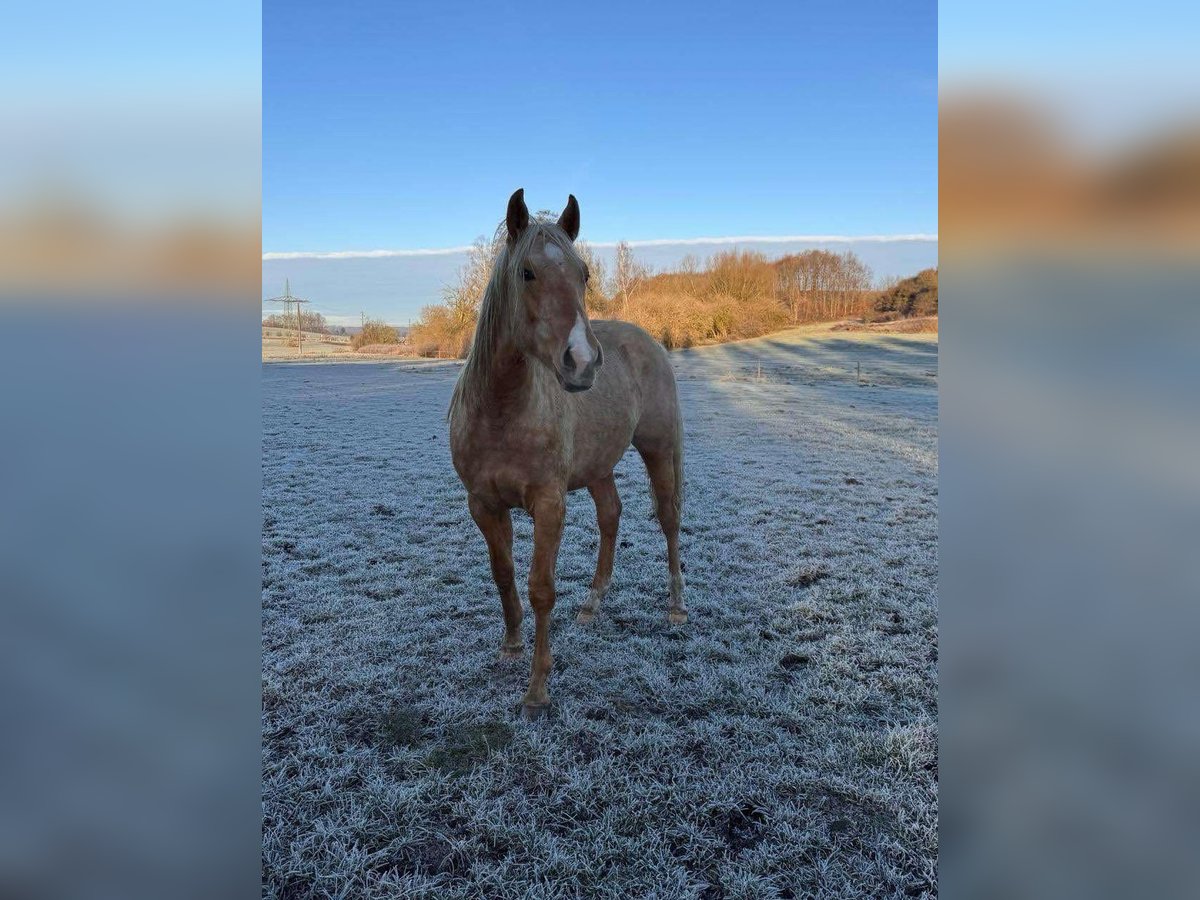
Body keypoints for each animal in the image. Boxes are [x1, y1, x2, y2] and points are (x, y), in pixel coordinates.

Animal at [448, 188, 686, 720]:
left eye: (584, 274)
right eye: (527, 273)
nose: (582, 362)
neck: (502, 411)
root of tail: (648, 340)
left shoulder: (549, 504)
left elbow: (541, 588)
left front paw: (537, 689)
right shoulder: (483, 504)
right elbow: (503, 575)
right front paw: (510, 646)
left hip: (660, 450)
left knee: (669, 520)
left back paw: (677, 606)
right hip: (598, 468)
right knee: (611, 516)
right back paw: (593, 604)